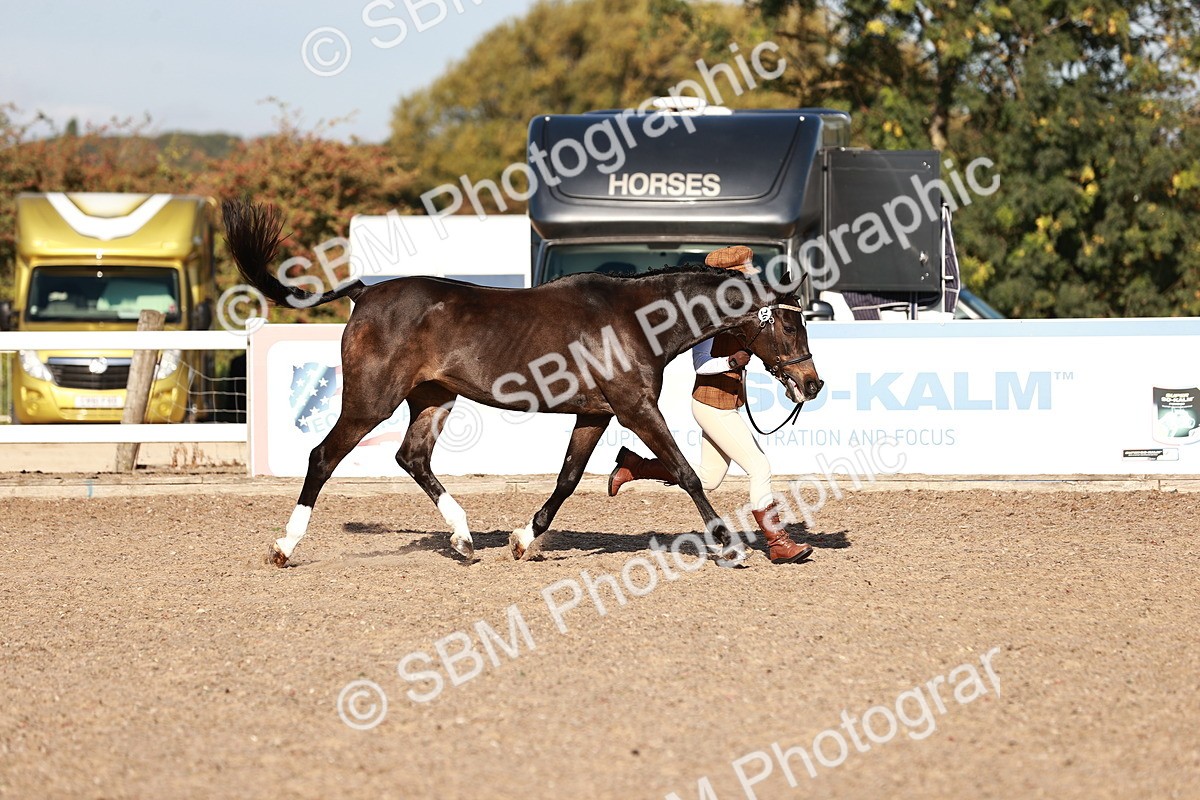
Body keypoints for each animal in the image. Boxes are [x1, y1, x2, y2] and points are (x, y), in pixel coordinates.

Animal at [221, 200, 823, 567]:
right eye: (790, 322)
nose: (812, 383)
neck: (634, 319)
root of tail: (366, 293)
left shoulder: (595, 412)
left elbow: (568, 479)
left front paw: (522, 539)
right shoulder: (634, 407)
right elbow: (685, 472)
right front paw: (726, 547)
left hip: (433, 398)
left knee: (412, 458)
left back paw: (465, 540)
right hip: (372, 400)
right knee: (323, 457)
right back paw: (284, 546)